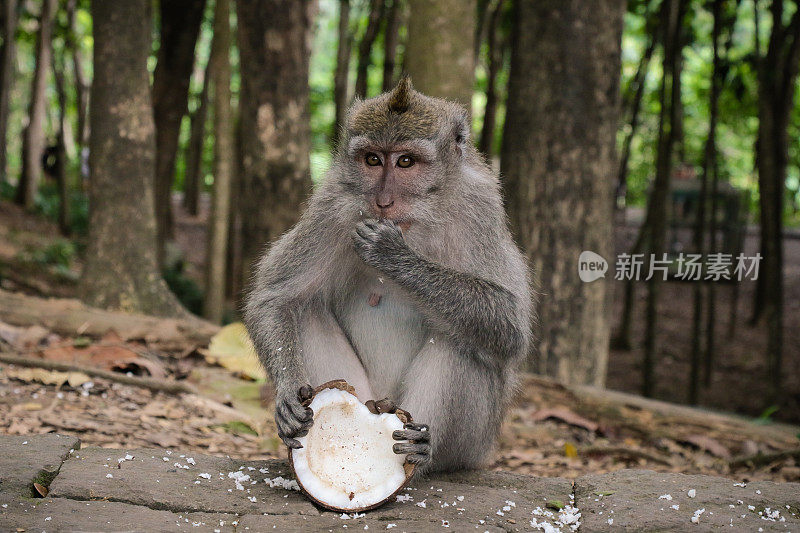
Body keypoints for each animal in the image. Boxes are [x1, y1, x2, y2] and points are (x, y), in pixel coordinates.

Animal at [244, 77, 532, 472]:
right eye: (372, 159)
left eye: (406, 161)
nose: (382, 202)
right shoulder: (332, 203)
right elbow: (276, 297)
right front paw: (288, 393)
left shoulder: (480, 207)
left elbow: (510, 321)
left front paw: (392, 254)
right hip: (363, 391)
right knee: (304, 309)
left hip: (473, 445)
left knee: (464, 339)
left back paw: (422, 451)